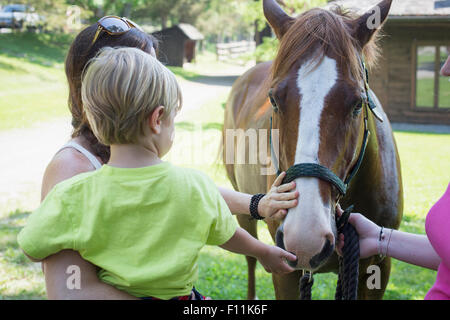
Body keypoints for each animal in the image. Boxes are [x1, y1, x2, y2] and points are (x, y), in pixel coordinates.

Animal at [223, 0, 402, 300]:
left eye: (358, 103)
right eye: (273, 99)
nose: (305, 237)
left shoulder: (378, 267)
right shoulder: (286, 272)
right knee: (250, 258)